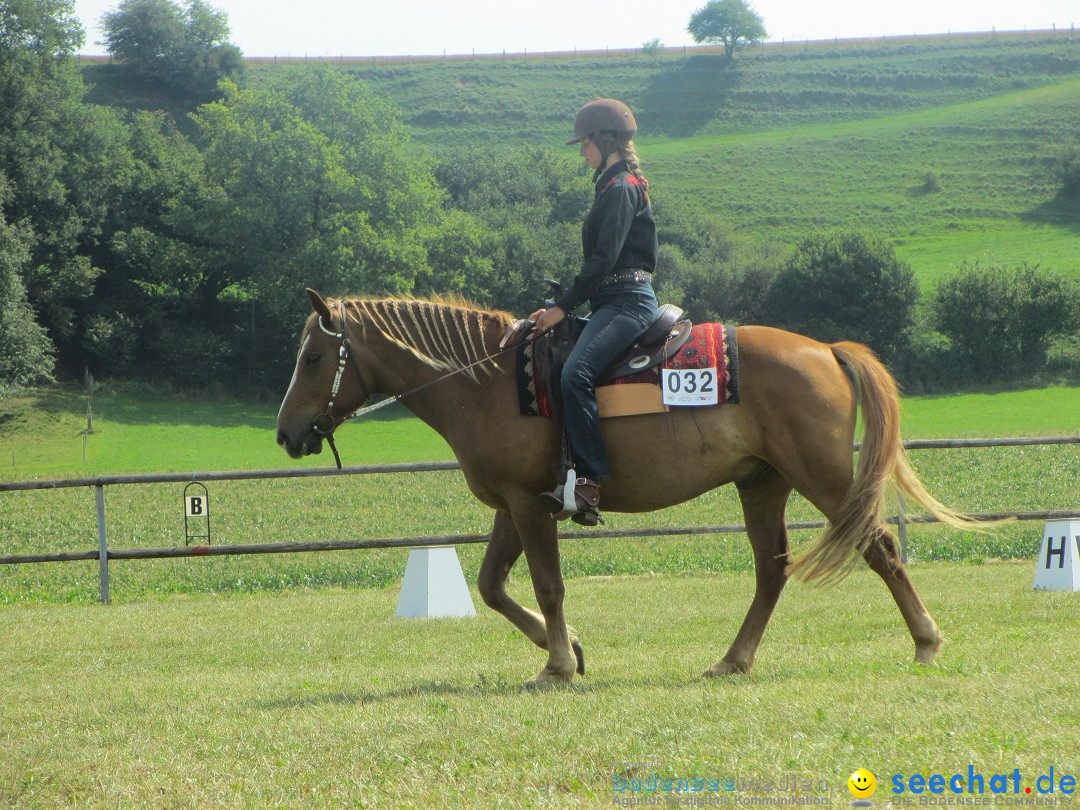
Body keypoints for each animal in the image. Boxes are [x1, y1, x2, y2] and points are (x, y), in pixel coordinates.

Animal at [274, 289, 984, 686]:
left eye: (314, 357)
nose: (286, 433)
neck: (487, 383)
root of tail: (825, 350)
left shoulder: (531, 507)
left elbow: (547, 585)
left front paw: (557, 666)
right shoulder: (514, 505)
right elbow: (493, 586)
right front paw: (569, 648)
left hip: (825, 479)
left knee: (880, 547)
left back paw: (926, 641)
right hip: (763, 485)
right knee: (770, 570)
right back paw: (733, 660)